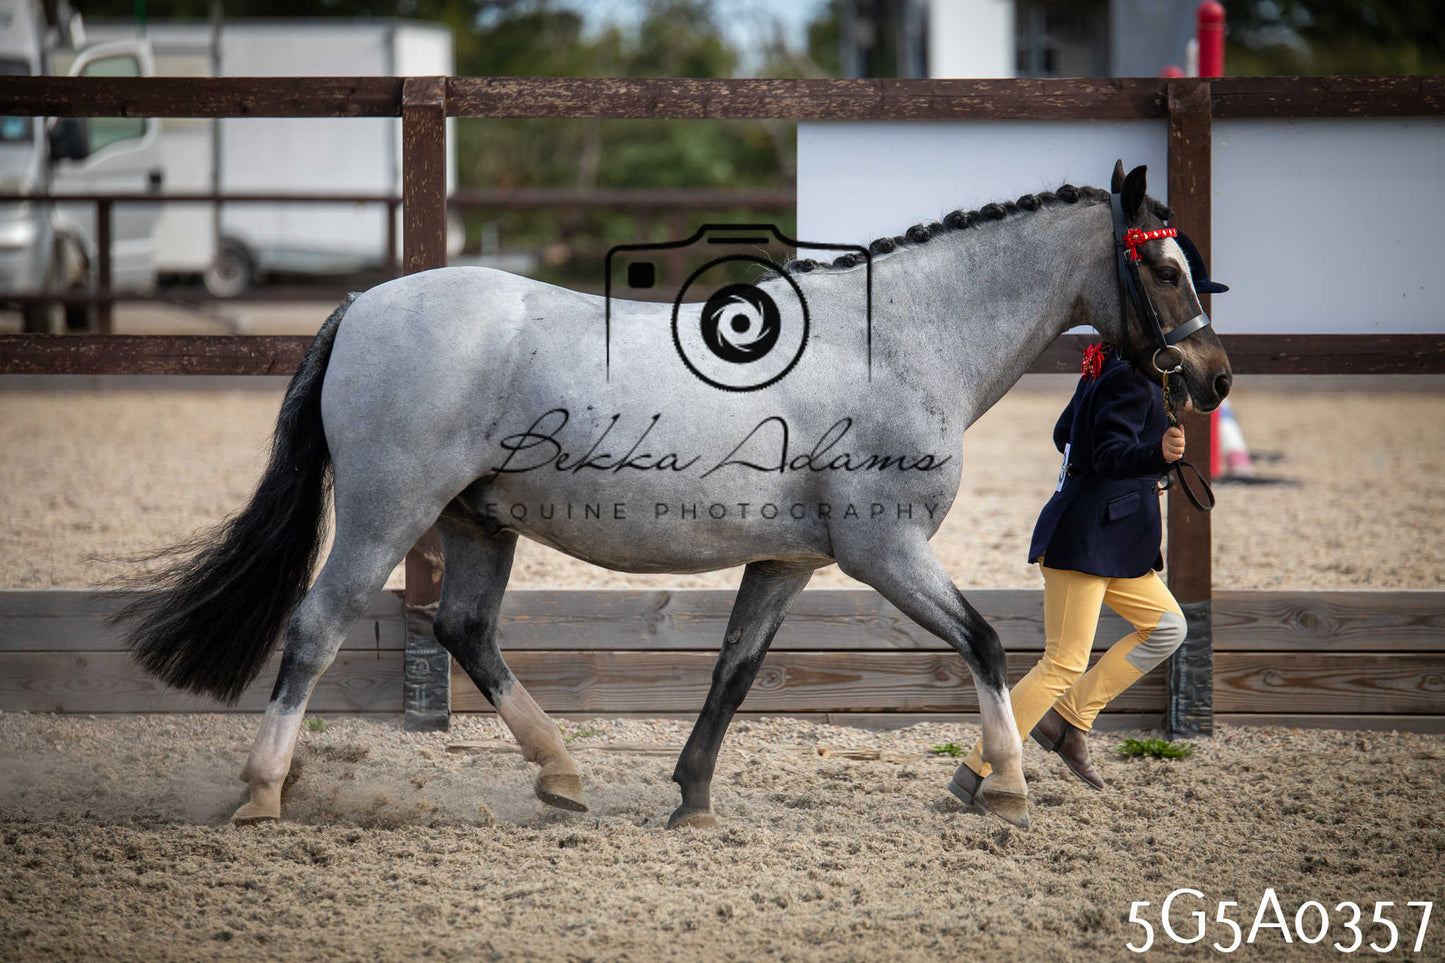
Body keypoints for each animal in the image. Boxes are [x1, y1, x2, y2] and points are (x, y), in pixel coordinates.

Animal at [114, 161, 1232, 830]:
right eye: (1165, 271)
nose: (1212, 377)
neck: (895, 343)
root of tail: (364, 303)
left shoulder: (786, 560)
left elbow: (734, 672)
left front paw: (690, 796)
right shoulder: (885, 551)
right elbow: (988, 643)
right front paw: (1000, 783)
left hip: (477, 525)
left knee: (466, 630)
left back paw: (560, 776)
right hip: (387, 515)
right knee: (316, 630)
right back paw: (263, 793)